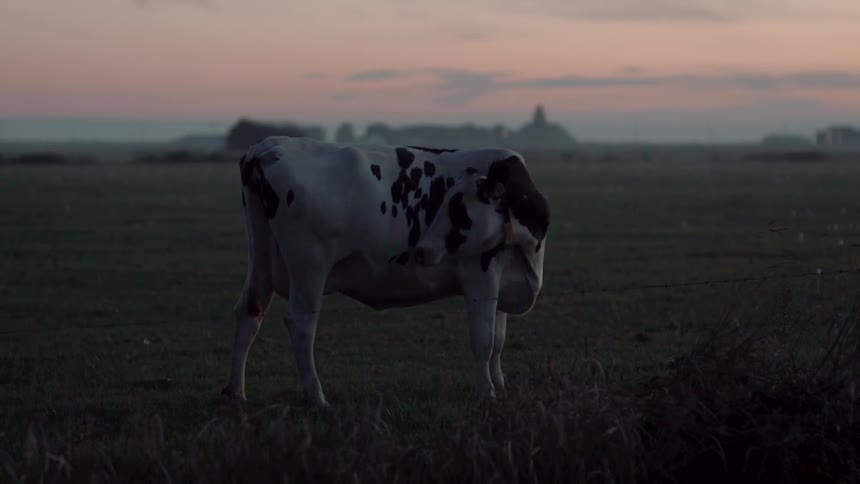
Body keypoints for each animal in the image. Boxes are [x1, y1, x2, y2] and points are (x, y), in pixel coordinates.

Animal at [222, 136, 550, 407]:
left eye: (458, 209)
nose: (422, 250)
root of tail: (268, 146)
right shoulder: (481, 273)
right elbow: (484, 340)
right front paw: (487, 393)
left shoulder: (503, 281)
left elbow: (499, 342)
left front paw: (500, 387)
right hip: (309, 265)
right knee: (301, 325)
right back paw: (317, 397)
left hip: (261, 257)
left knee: (249, 311)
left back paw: (236, 393)